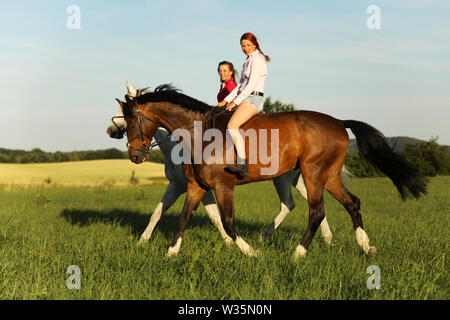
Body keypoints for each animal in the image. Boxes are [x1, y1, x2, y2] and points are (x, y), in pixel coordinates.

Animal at [118, 84, 428, 260]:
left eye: (131, 121)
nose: (135, 156)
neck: (198, 133)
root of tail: (339, 122)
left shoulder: (223, 186)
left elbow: (228, 223)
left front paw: (252, 253)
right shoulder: (196, 186)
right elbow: (184, 218)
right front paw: (170, 253)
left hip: (313, 175)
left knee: (316, 212)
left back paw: (297, 254)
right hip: (328, 177)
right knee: (352, 203)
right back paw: (366, 247)